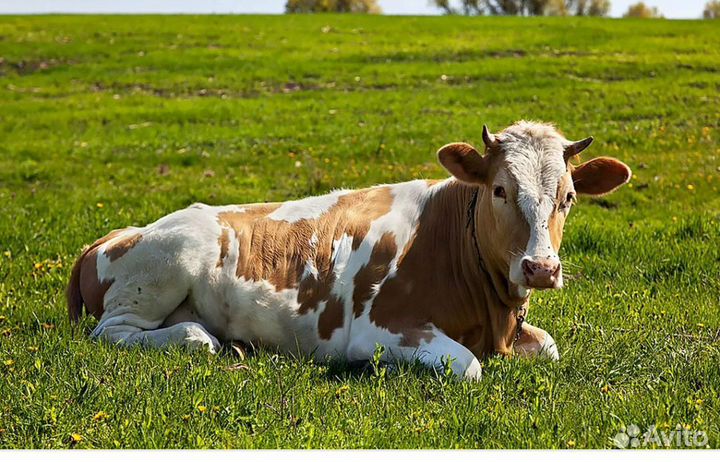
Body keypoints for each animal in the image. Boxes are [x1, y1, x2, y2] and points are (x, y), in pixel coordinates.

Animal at [67, 121, 631, 380]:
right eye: (499, 190)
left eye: (569, 197)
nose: (540, 267)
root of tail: (114, 234)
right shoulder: (382, 328)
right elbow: (469, 366)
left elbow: (551, 345)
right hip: (165, 267)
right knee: (119, 333)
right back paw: (203, 337)